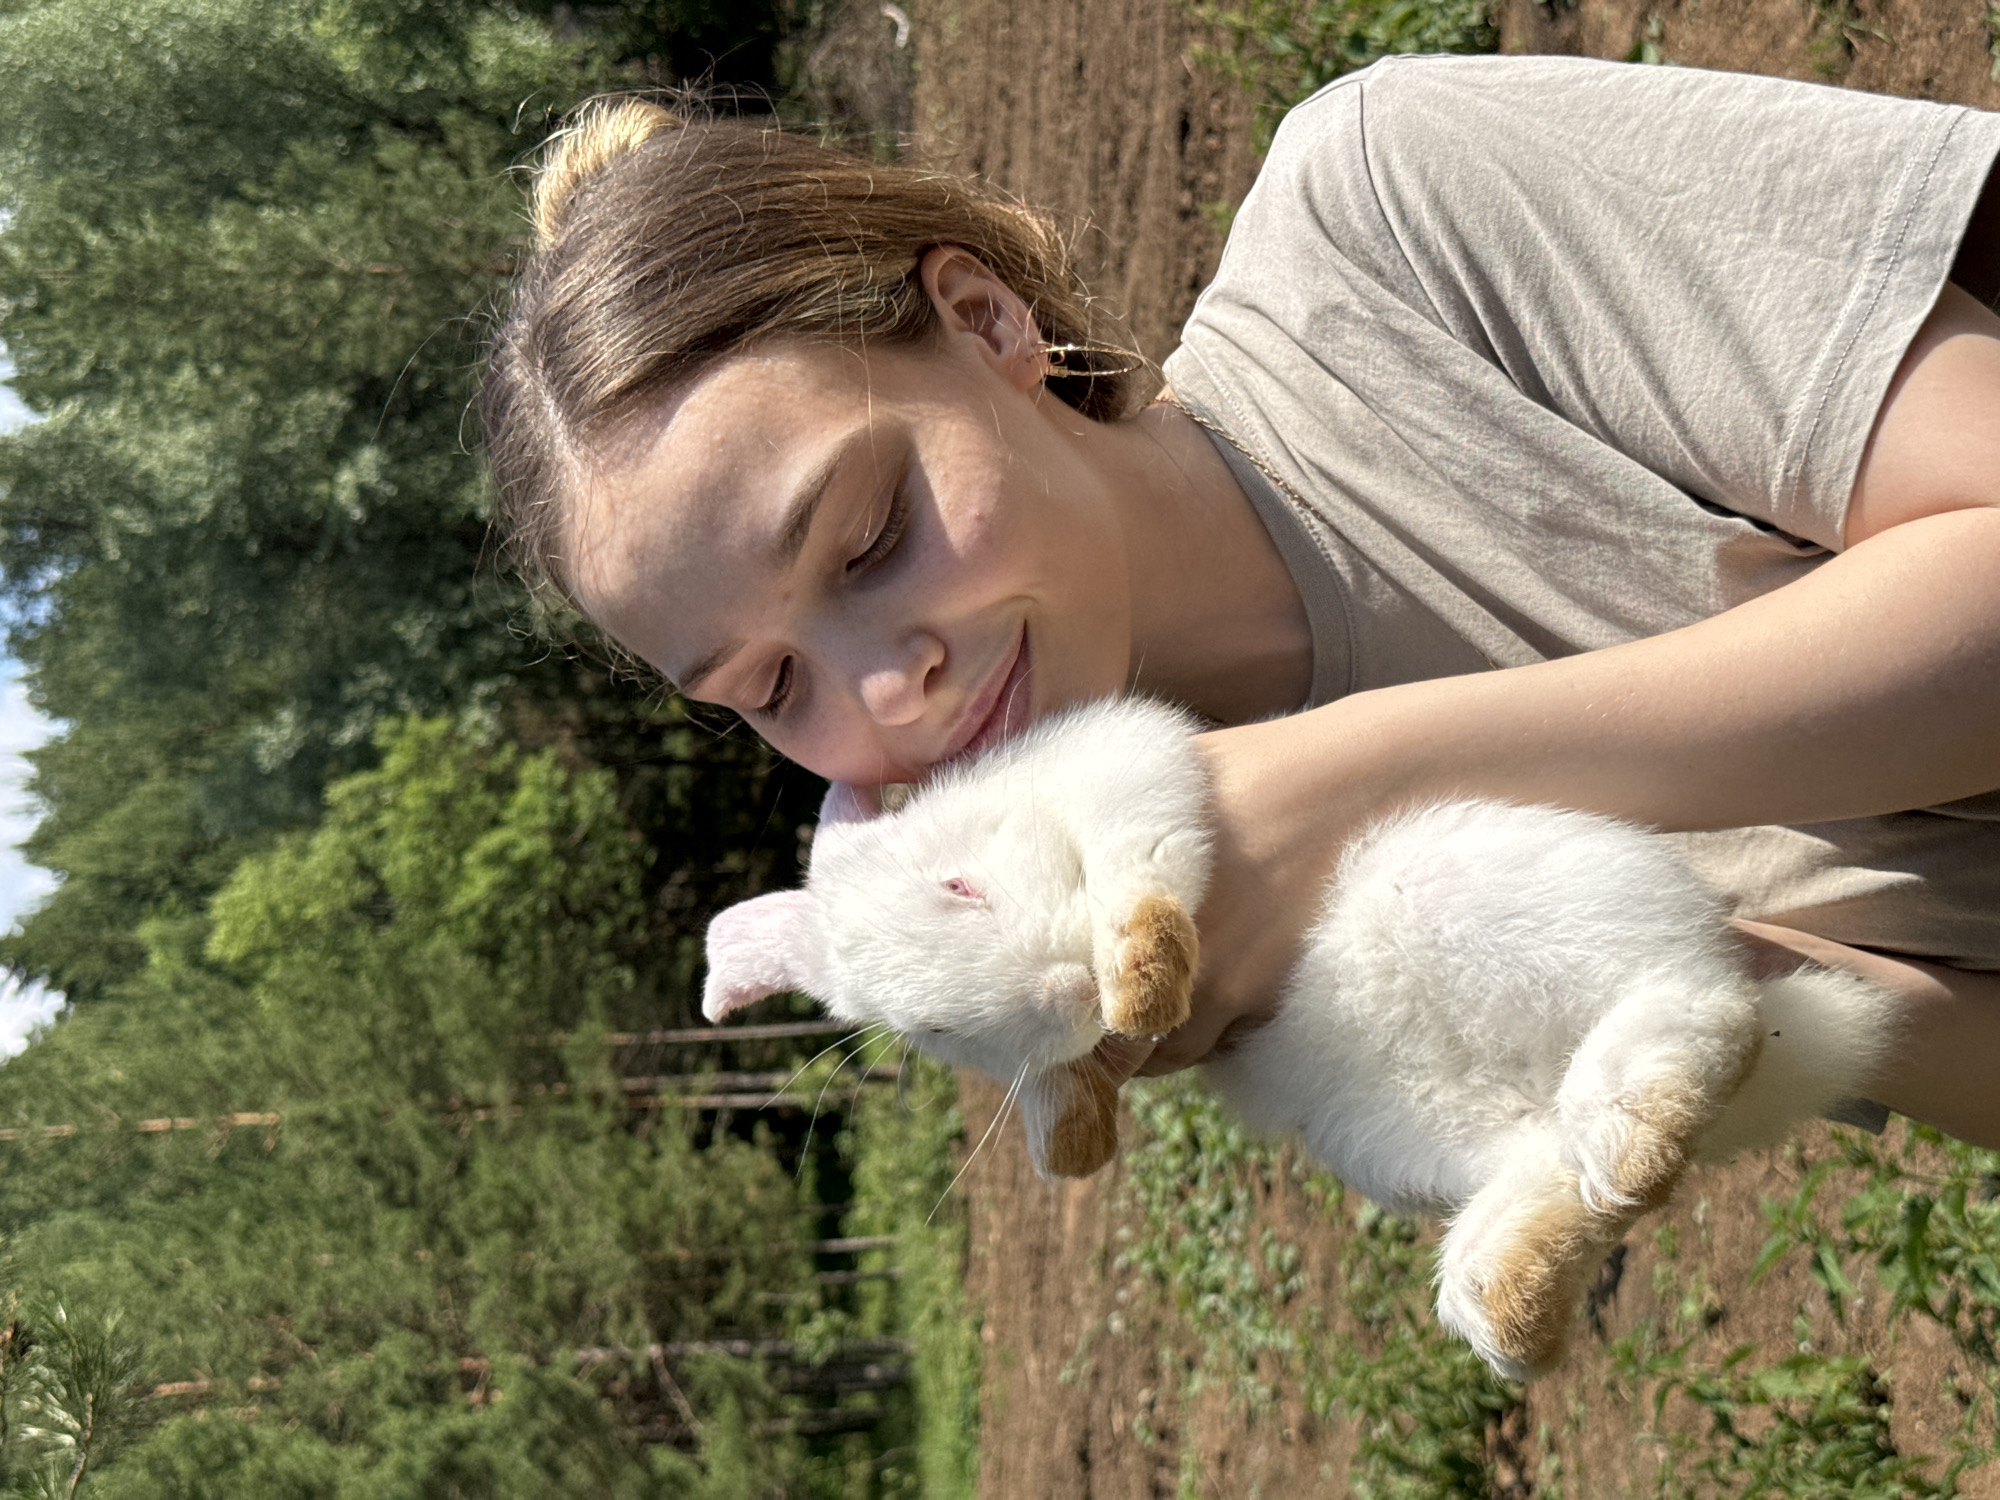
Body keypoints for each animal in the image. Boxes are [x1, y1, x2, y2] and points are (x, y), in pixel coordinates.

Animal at [702, 696, 1894, 1381]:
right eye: (934, 1029)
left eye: (959, 886)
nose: (1064, 992)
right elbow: (1058, 1089)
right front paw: (1075, 1137)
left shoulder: (1123, 763)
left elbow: (1142, 860)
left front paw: (1141, 978)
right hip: (1388, 1132)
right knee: (1559, 1170)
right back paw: (1511, 1299)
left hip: (1488, 896)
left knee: (1696, 1004)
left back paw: (1632, 1131)